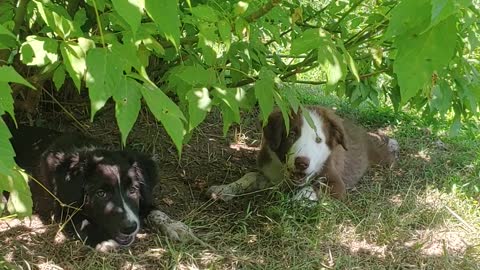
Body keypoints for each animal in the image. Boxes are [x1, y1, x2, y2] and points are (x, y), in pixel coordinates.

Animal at [7, 124, 191, 251]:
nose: (130, 228)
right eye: (101, 194)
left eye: (133, 190)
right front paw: (103, 240)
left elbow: (154, 211)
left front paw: (174, 225)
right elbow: (81, 220)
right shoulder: (60, 208)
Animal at [206, 105, 398, 200]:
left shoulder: (337, 186)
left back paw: (393, 146)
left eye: (319, 140)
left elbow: (312, 189)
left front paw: (296, 199)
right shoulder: (270, 174)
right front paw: (224, 189)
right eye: (292, 134)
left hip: (379, 157)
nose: (301, 163)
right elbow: (250, 176)